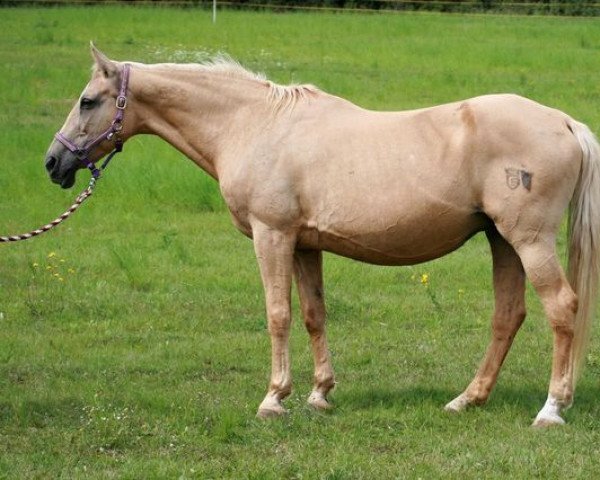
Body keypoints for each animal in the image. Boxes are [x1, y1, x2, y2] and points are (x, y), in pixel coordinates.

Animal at [44, 47, 596, 426]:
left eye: (88, 101)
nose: (54, 162)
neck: (254, 125)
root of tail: (564, 122)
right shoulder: (305, 245)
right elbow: (313, 314)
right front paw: (319, 394)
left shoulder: (272, 236)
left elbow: (278, 314)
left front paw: (273, 399)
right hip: (502, 241)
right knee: (508, 316)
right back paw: (467, 399)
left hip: (528, 241)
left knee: (562, 308)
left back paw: (551, 409)